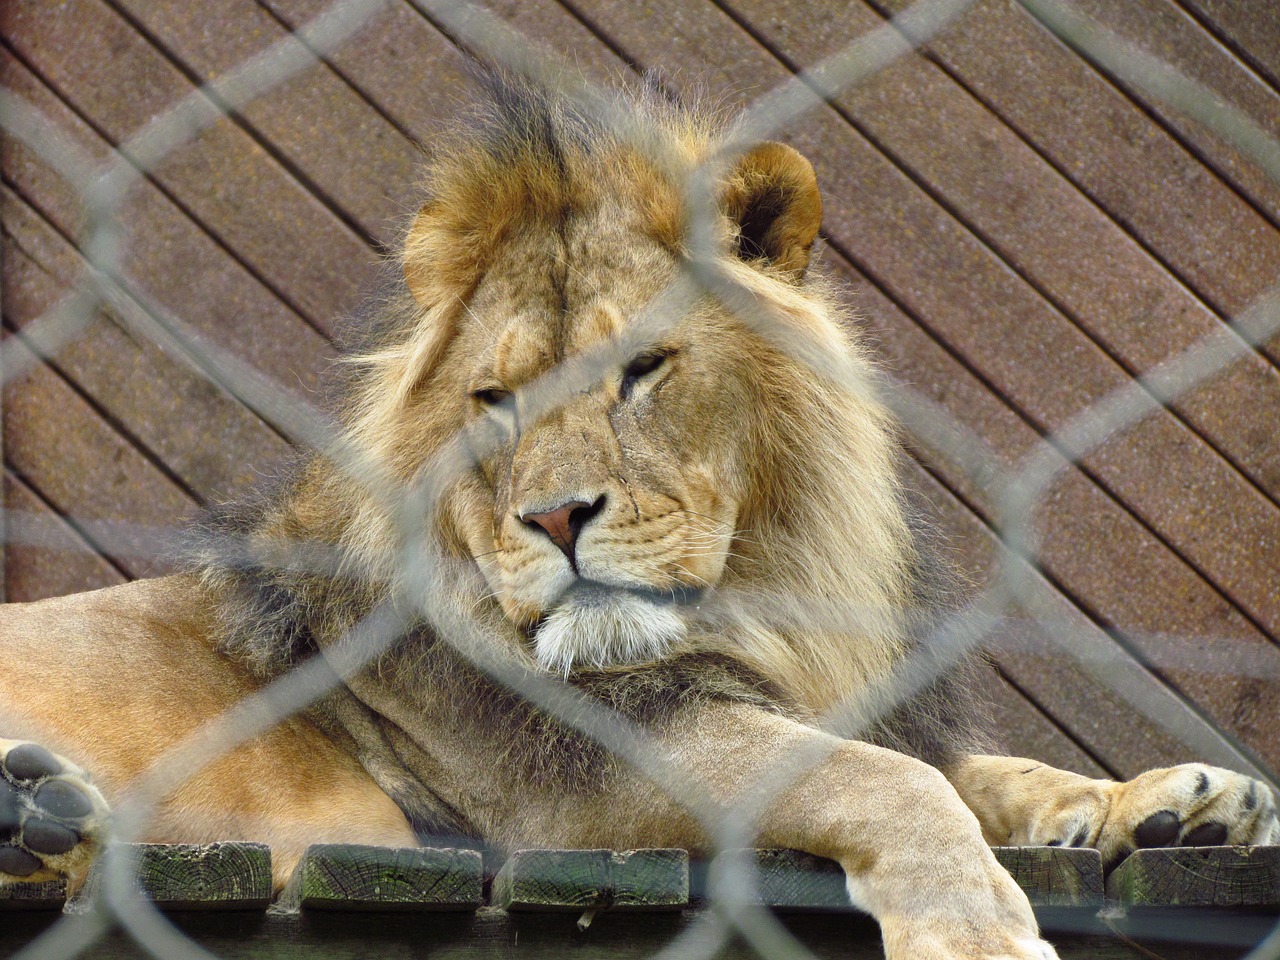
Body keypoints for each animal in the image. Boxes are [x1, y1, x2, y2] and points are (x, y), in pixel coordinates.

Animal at [2, 75, 1280, 960]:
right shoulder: (581, 790)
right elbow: (884, 780)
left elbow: (977, 766)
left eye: (644, 370)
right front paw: (971, 933)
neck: (766, 599)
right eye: (493, 400)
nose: (554, 517)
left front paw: (1178, 807)